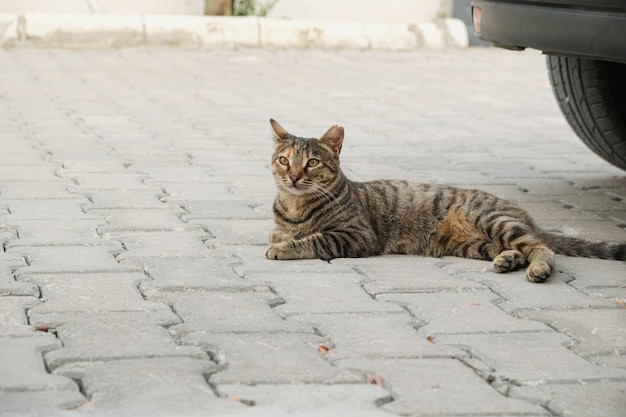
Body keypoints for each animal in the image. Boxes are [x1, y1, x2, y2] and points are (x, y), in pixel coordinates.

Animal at [264, 118, 624, 282]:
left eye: (312, 163)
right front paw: (282, 236)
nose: (293, 176)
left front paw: (284, 247)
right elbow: (279, 231)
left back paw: (538, 268)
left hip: (492, 220)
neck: (296, 206)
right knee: (519, 249)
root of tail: (523, 213)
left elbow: (314, 239)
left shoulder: (356, 236)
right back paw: (508, 260)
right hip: (471, 243)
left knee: (541, 247)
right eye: (284, 160)